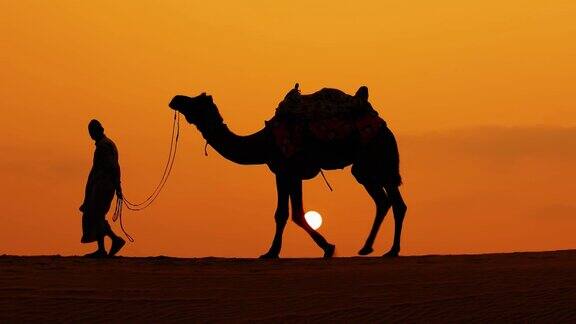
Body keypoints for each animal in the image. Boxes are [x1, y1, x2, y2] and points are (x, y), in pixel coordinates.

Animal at [169, 85, 408, 260]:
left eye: (195, 101)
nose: (175, 99)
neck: (263, 142)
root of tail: (385, 128)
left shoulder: (284, 170)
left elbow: (284, 213)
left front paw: (273, 252)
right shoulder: (291, 173)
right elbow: (296, 213)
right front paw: (325, 248)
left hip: (375, 160)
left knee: (396, 203)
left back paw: (392, 251)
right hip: (367, 168)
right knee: (384, 201)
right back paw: (367, 248)